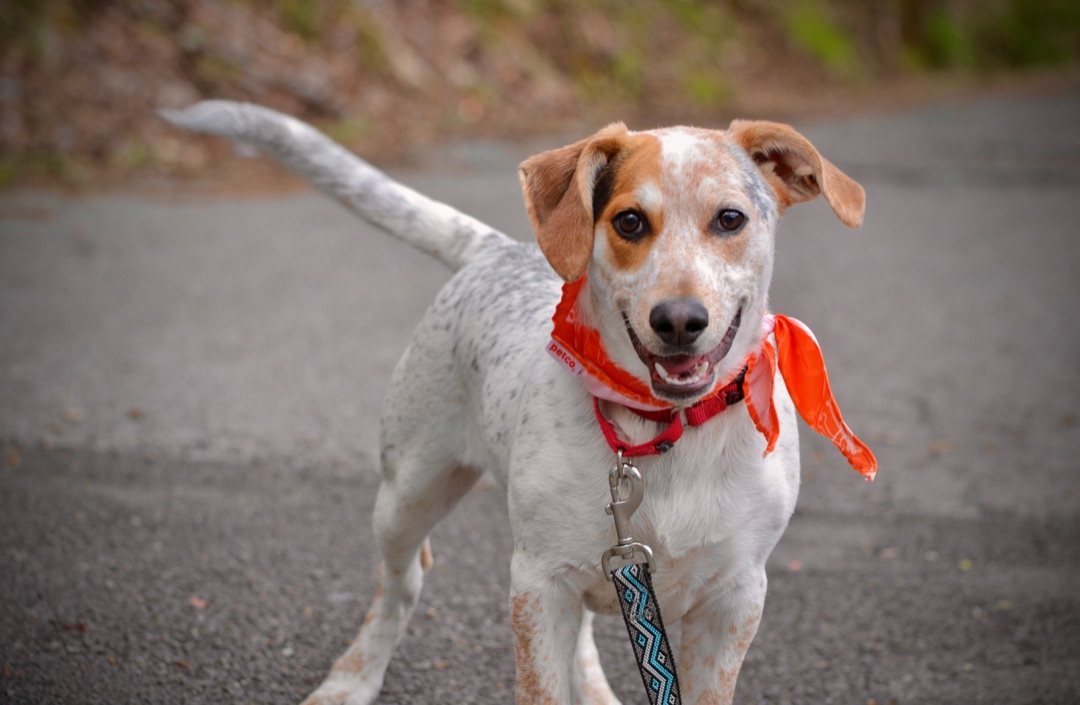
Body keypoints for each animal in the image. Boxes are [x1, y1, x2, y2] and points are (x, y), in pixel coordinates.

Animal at [166, 100, 876, 703]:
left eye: (730, 219)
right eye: (629, 221)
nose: (678, 320)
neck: (660, 431)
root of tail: (496, 248)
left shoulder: (735, 598)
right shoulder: (537, 585)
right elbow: (541, 684)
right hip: (408, 493)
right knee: (402, 583)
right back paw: (352, 680)